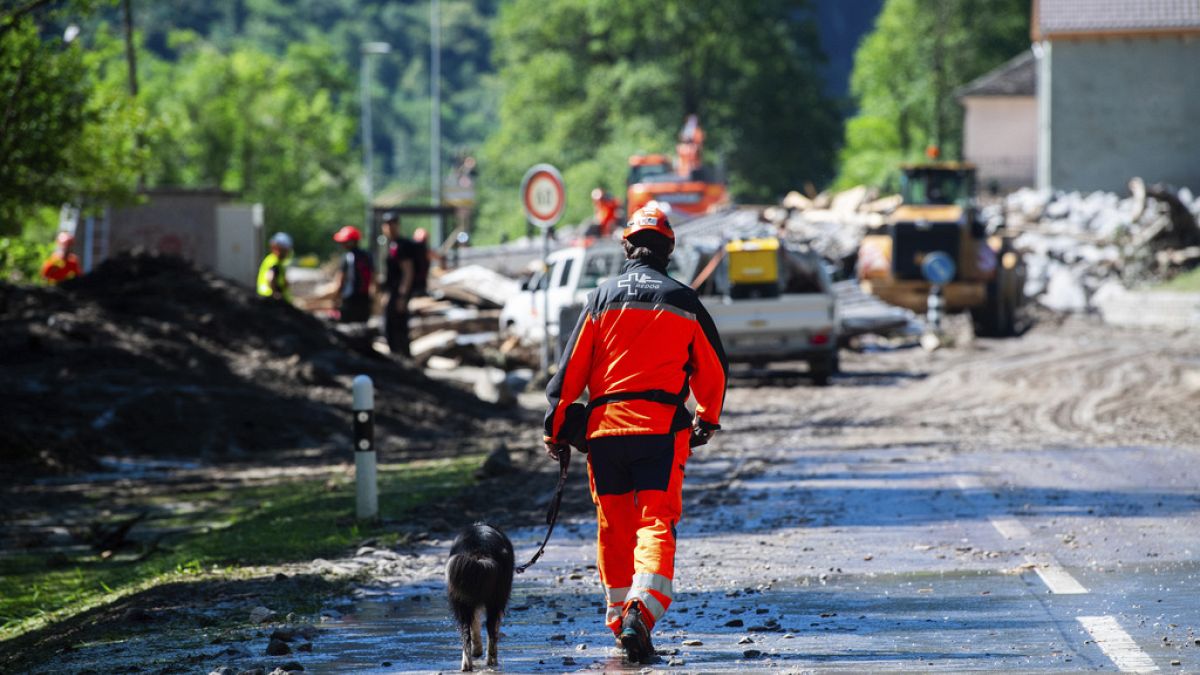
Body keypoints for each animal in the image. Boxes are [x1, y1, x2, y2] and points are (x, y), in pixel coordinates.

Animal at [446, 521, 511, 667]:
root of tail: (480, 551)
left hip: (460, 600)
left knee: (465, 632)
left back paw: (466, 665)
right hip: (497, 599)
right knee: (491, 628)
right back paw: (491, 660)